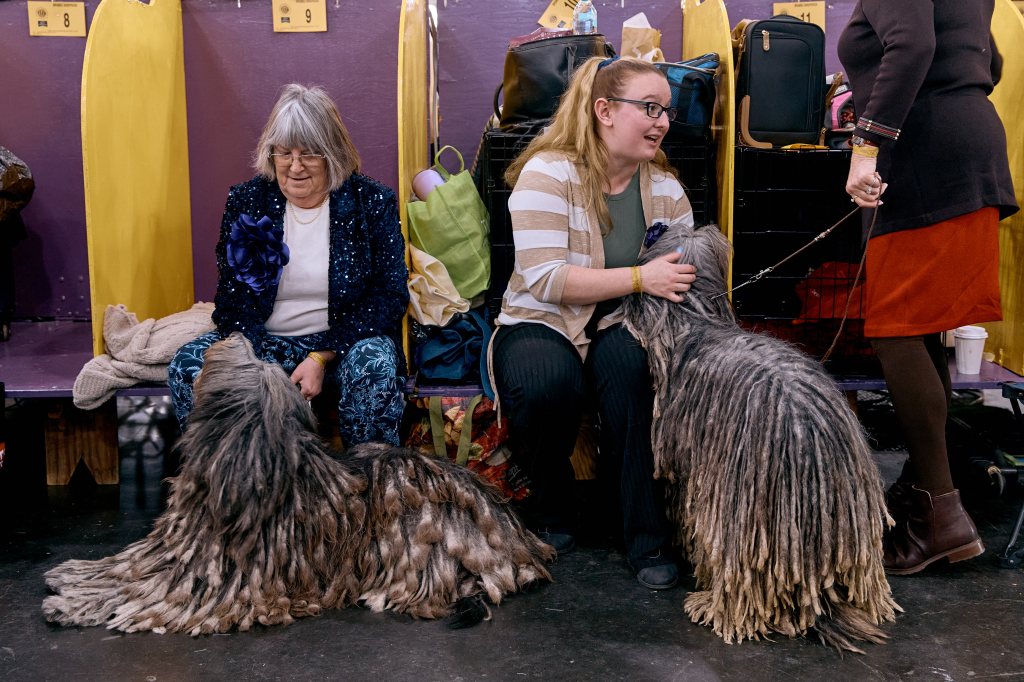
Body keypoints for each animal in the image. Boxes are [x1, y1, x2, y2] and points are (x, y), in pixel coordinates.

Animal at [39, 331, 552, 634]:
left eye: (244, 356)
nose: (236, 332)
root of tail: (516, 536)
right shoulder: (170, 549)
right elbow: (122, 568)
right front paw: (72, 577)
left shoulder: (208, 580)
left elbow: (140, 593)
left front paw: (71, 605)